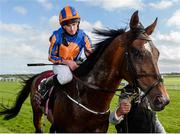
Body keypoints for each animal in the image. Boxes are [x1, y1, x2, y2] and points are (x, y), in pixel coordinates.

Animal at [0, 10, 169, 132]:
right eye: (136, 52)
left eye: (157, 53)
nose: (163, 100)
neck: (89, 99)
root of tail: (38, 76)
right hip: (36, 113)